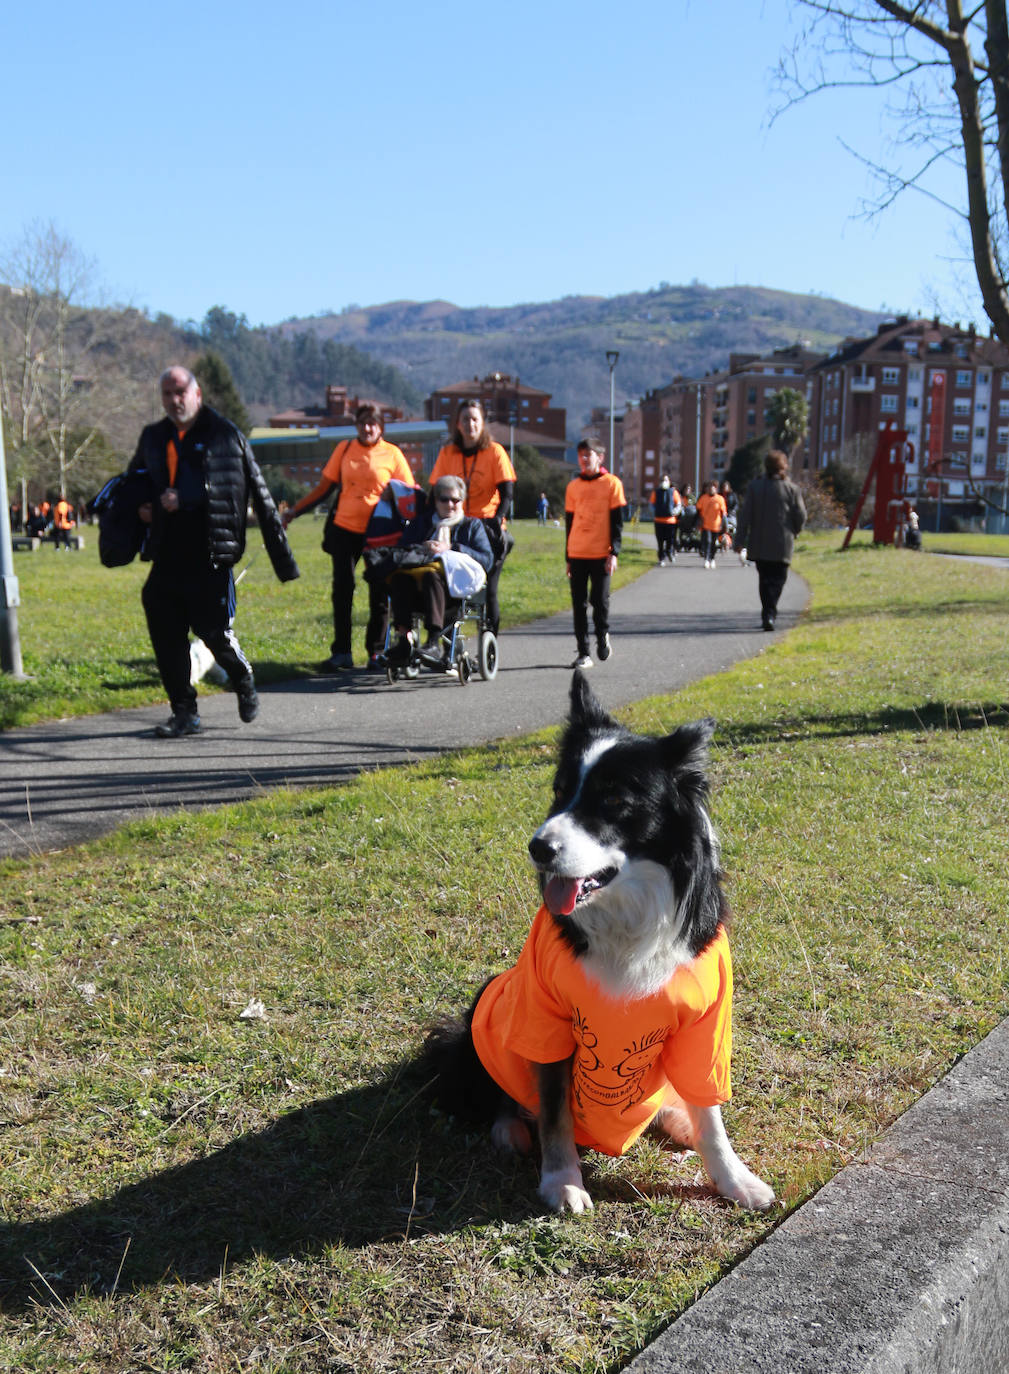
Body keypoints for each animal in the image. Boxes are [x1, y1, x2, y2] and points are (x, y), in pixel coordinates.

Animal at [426, 670, 775, 1220]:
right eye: (560, 791)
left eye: (614, 802)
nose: (537, 847)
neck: (627, 919)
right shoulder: (549, 1022)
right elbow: (554, 1112)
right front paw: (562, 1183)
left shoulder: (705, 1026)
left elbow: (711, 1113)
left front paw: (734, 1179)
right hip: (490, 998)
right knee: (498, 1092)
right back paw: (508, 1128)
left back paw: (675, 1118)